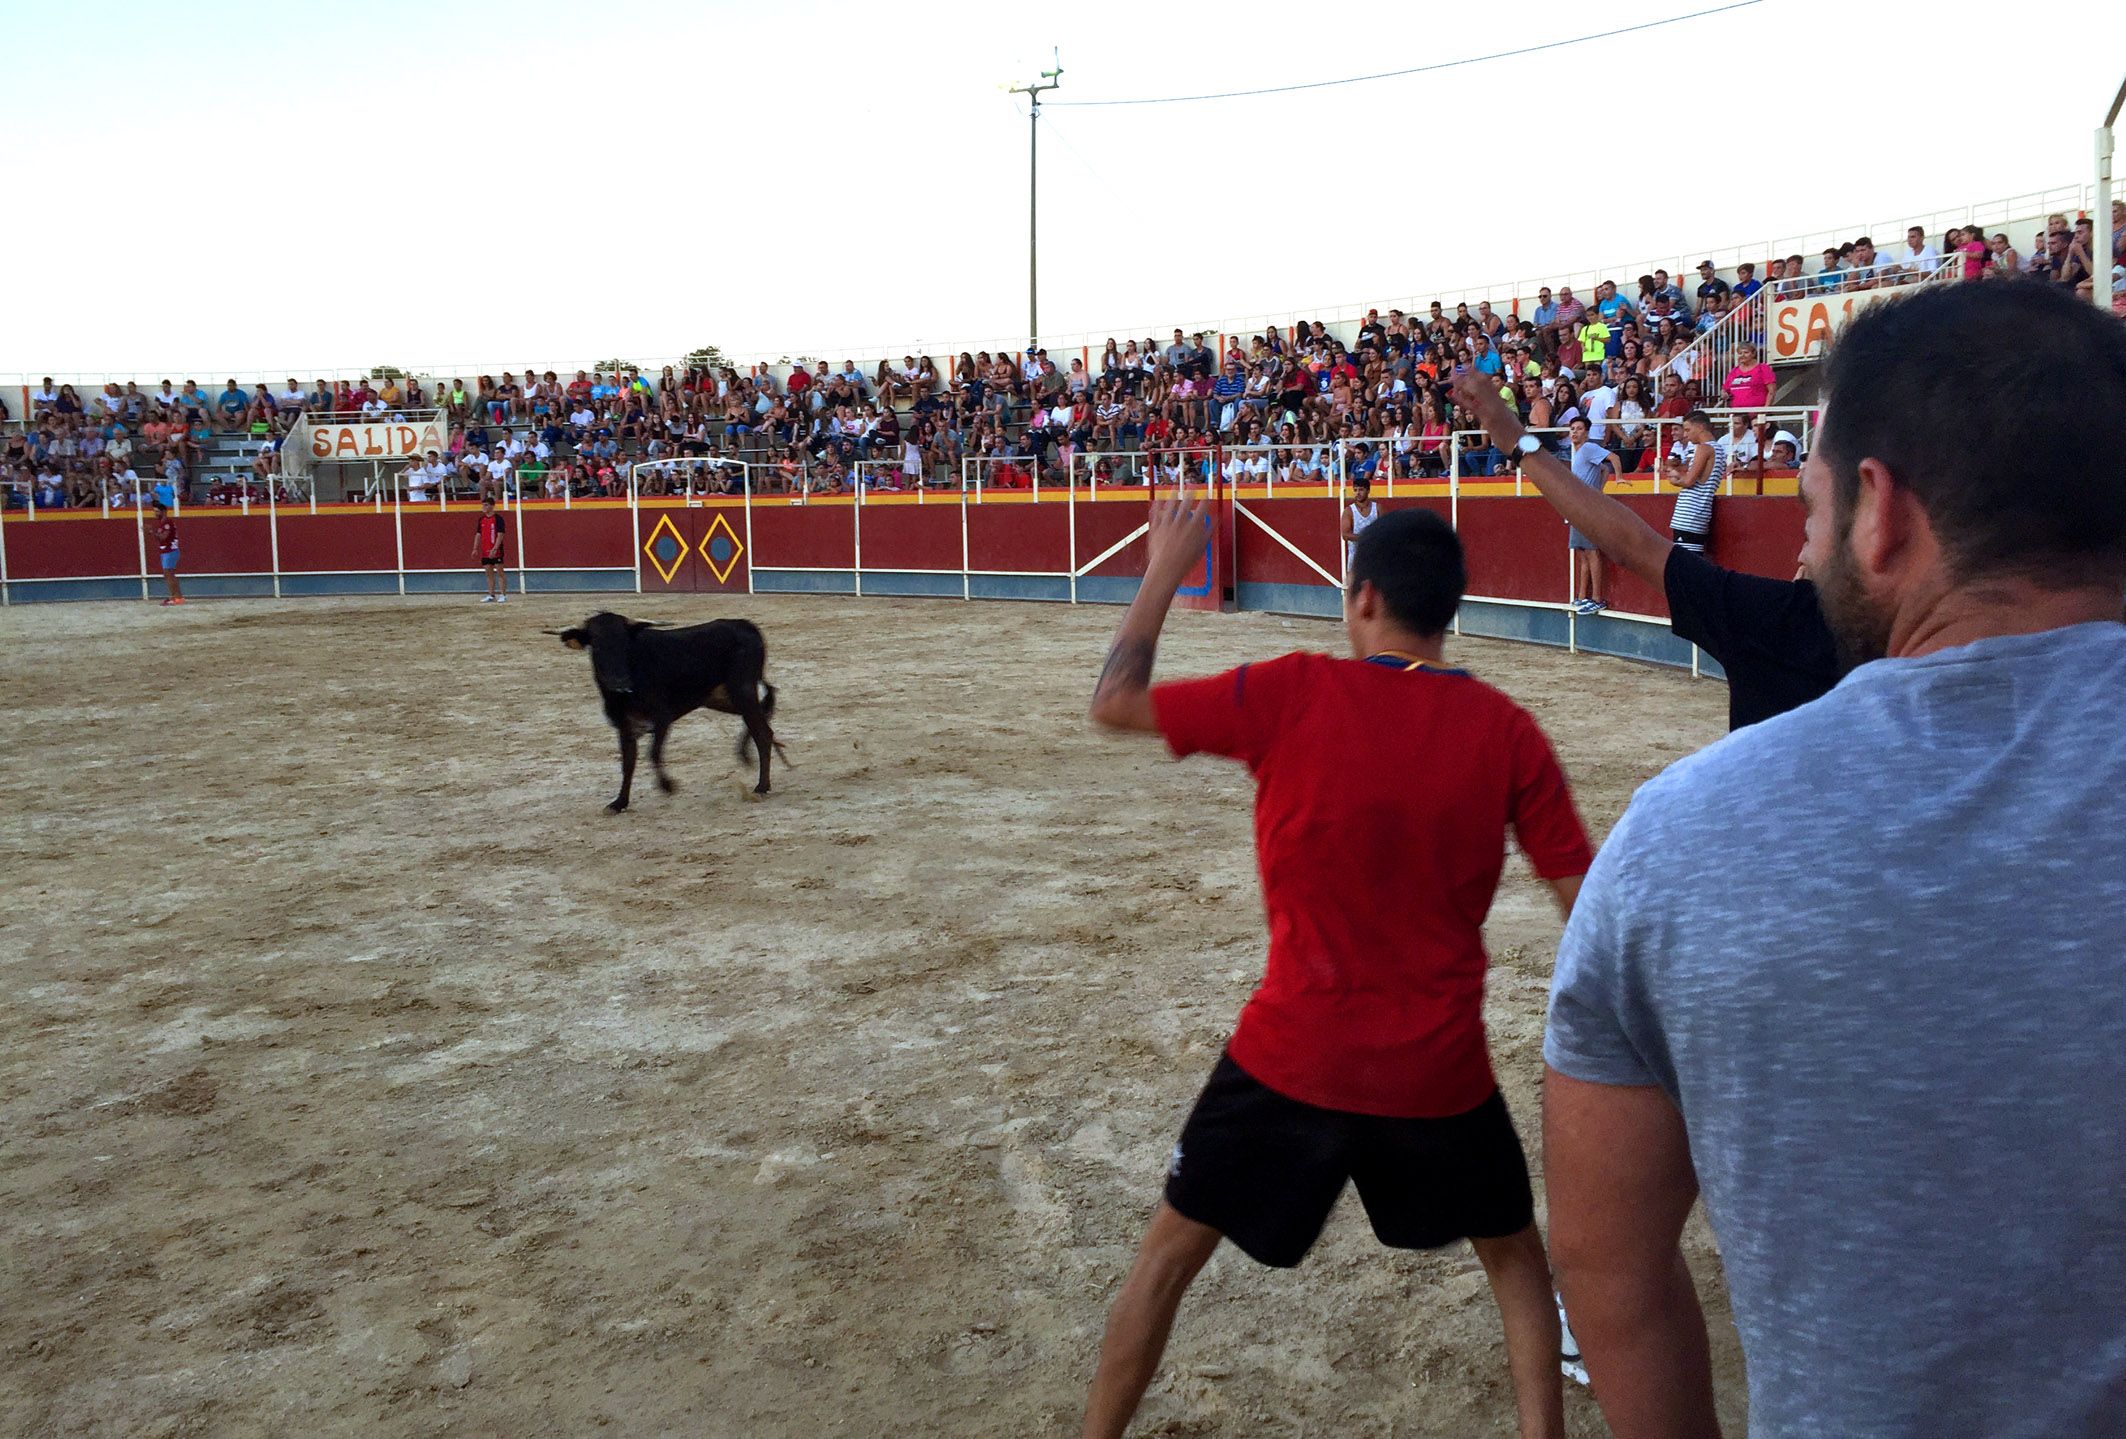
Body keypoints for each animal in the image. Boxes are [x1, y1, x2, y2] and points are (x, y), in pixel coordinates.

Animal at [552, 607, 786, 807]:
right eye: (597, 646)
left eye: (626, 645)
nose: (620, 683)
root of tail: (747, 625)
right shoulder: (624, 725)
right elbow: (628, 763)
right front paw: (620, 803)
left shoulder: (662, 717)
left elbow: (653, 753)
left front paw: (668, 785)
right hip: (720, 697)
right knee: (765, 712)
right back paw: (751, 756)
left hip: (742, 691)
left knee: (762, 732)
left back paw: (761, 786)